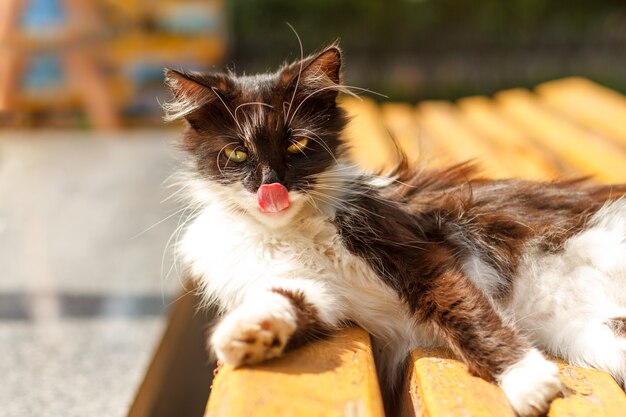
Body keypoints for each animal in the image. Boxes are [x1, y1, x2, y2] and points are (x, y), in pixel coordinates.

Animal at [162, 44, 624, 414]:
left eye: (297, 145)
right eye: (237, 153)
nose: (270, 187)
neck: (289, 230)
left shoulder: (417, 250)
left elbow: (466, 314)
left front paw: (527, 379)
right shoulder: (316, 292)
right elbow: (286, 300)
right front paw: (247, 334)